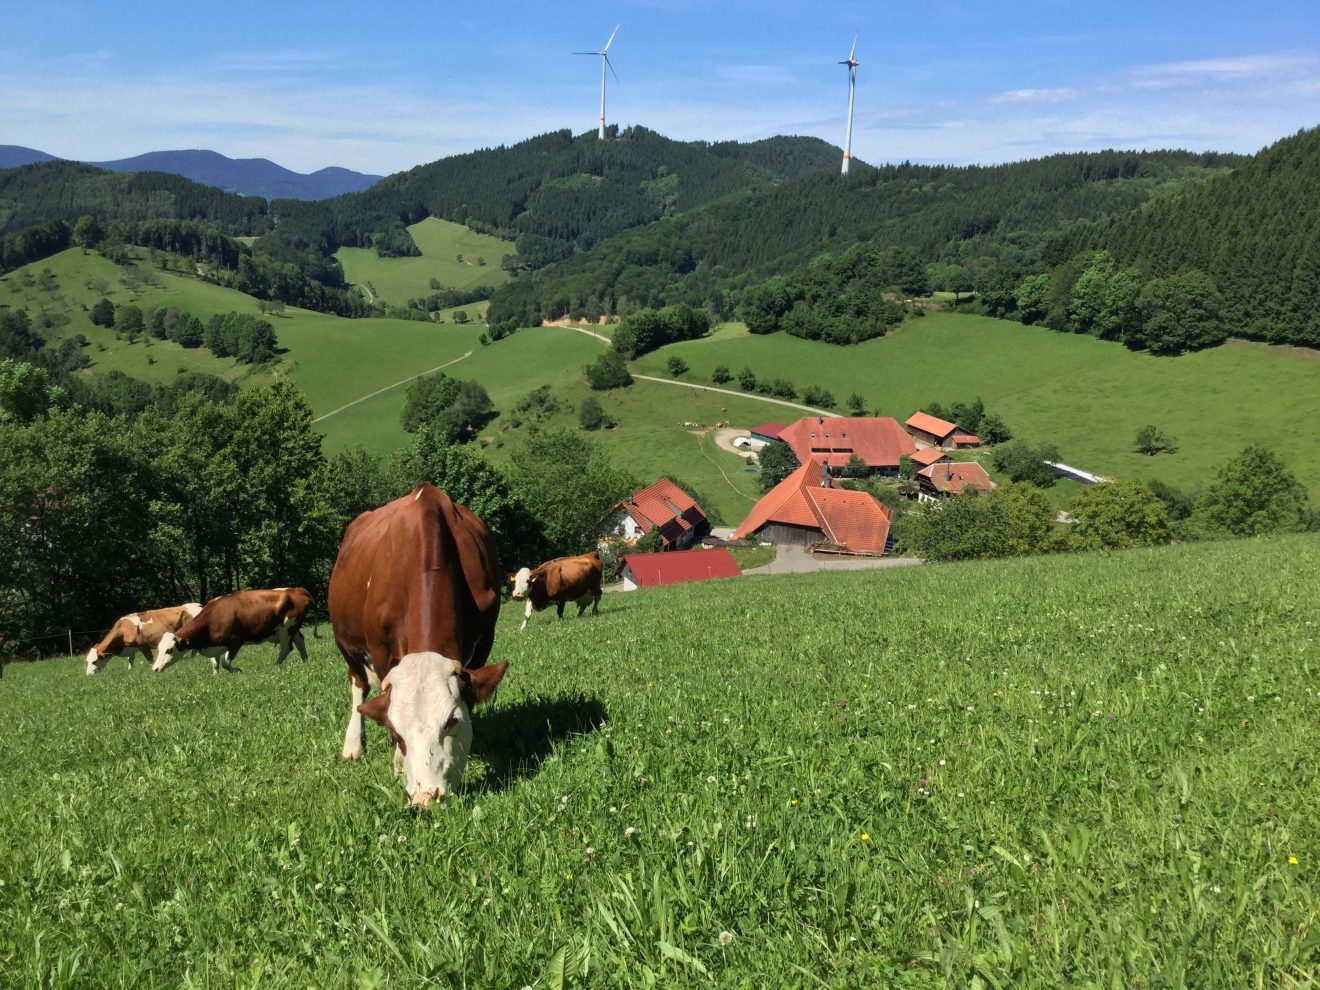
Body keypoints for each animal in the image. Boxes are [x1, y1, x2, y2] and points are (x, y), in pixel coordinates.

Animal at [152, 587, 314, 674]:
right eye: (159, 649)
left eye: (169, 650)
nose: (155, 668)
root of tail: (297, 590)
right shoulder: (215, 645)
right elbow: (215, 663)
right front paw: (216, 677)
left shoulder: (235, 642)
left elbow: (225, 663)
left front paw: (237, 671)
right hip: (292, 629)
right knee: (300, 640)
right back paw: (305, 661)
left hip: (286, 629)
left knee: (286, 648)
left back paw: (276, 665)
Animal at [327, 484, 507, 808]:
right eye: (396, 731)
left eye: (452, 721)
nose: (425, 798)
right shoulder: (380, 650)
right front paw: (398, 764)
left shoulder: (485, 639)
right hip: (345, 643)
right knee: (358, 685)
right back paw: (352, 746)